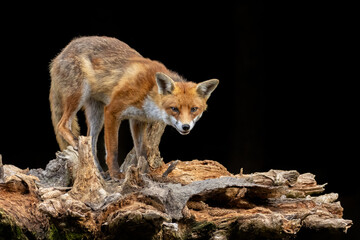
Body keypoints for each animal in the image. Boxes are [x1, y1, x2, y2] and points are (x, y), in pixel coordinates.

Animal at [50, 35, 219, 178]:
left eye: (194, 109)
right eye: (174, 109)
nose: (186, 127)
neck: (149, 90)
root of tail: (60, 54)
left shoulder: (138, 120)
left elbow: (141, 151)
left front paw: (144, 174)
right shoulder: (112, 111)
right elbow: (113, 150)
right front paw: (116, 174)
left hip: (96, 115)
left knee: (90, 143)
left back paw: (98, 172)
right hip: (79, 96)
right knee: (62, 125)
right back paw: (76, 144)